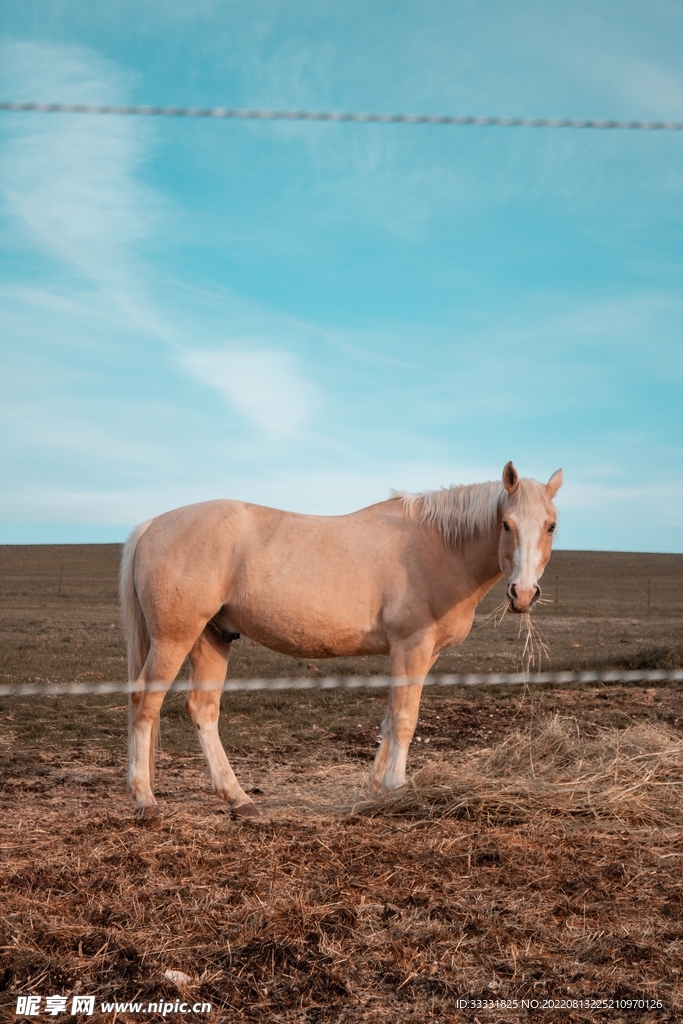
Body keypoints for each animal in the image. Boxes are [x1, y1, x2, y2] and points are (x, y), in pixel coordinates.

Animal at [120, 461, 562, 818]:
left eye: (551, 525)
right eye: (506, 524)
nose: (523, 594)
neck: (438, 546)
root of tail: (152, 525)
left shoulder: (422, 654)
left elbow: (389, 718)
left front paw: (376, 787)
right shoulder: (411, 648)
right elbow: (405, 719)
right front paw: (398, 787)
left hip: (211, 637)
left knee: (203, 709)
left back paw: (238, 799)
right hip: (173, 639)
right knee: (145, 701)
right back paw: (144, 799)